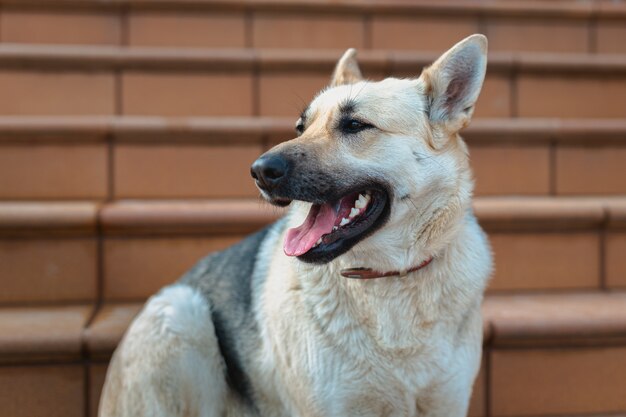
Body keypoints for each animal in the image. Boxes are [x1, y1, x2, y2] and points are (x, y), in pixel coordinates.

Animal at [100, 34, 492, 414]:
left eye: (354, 124)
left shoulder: (446, 403)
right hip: (184, 312)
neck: (388, 278)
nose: (259, 171)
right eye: (301, 127)